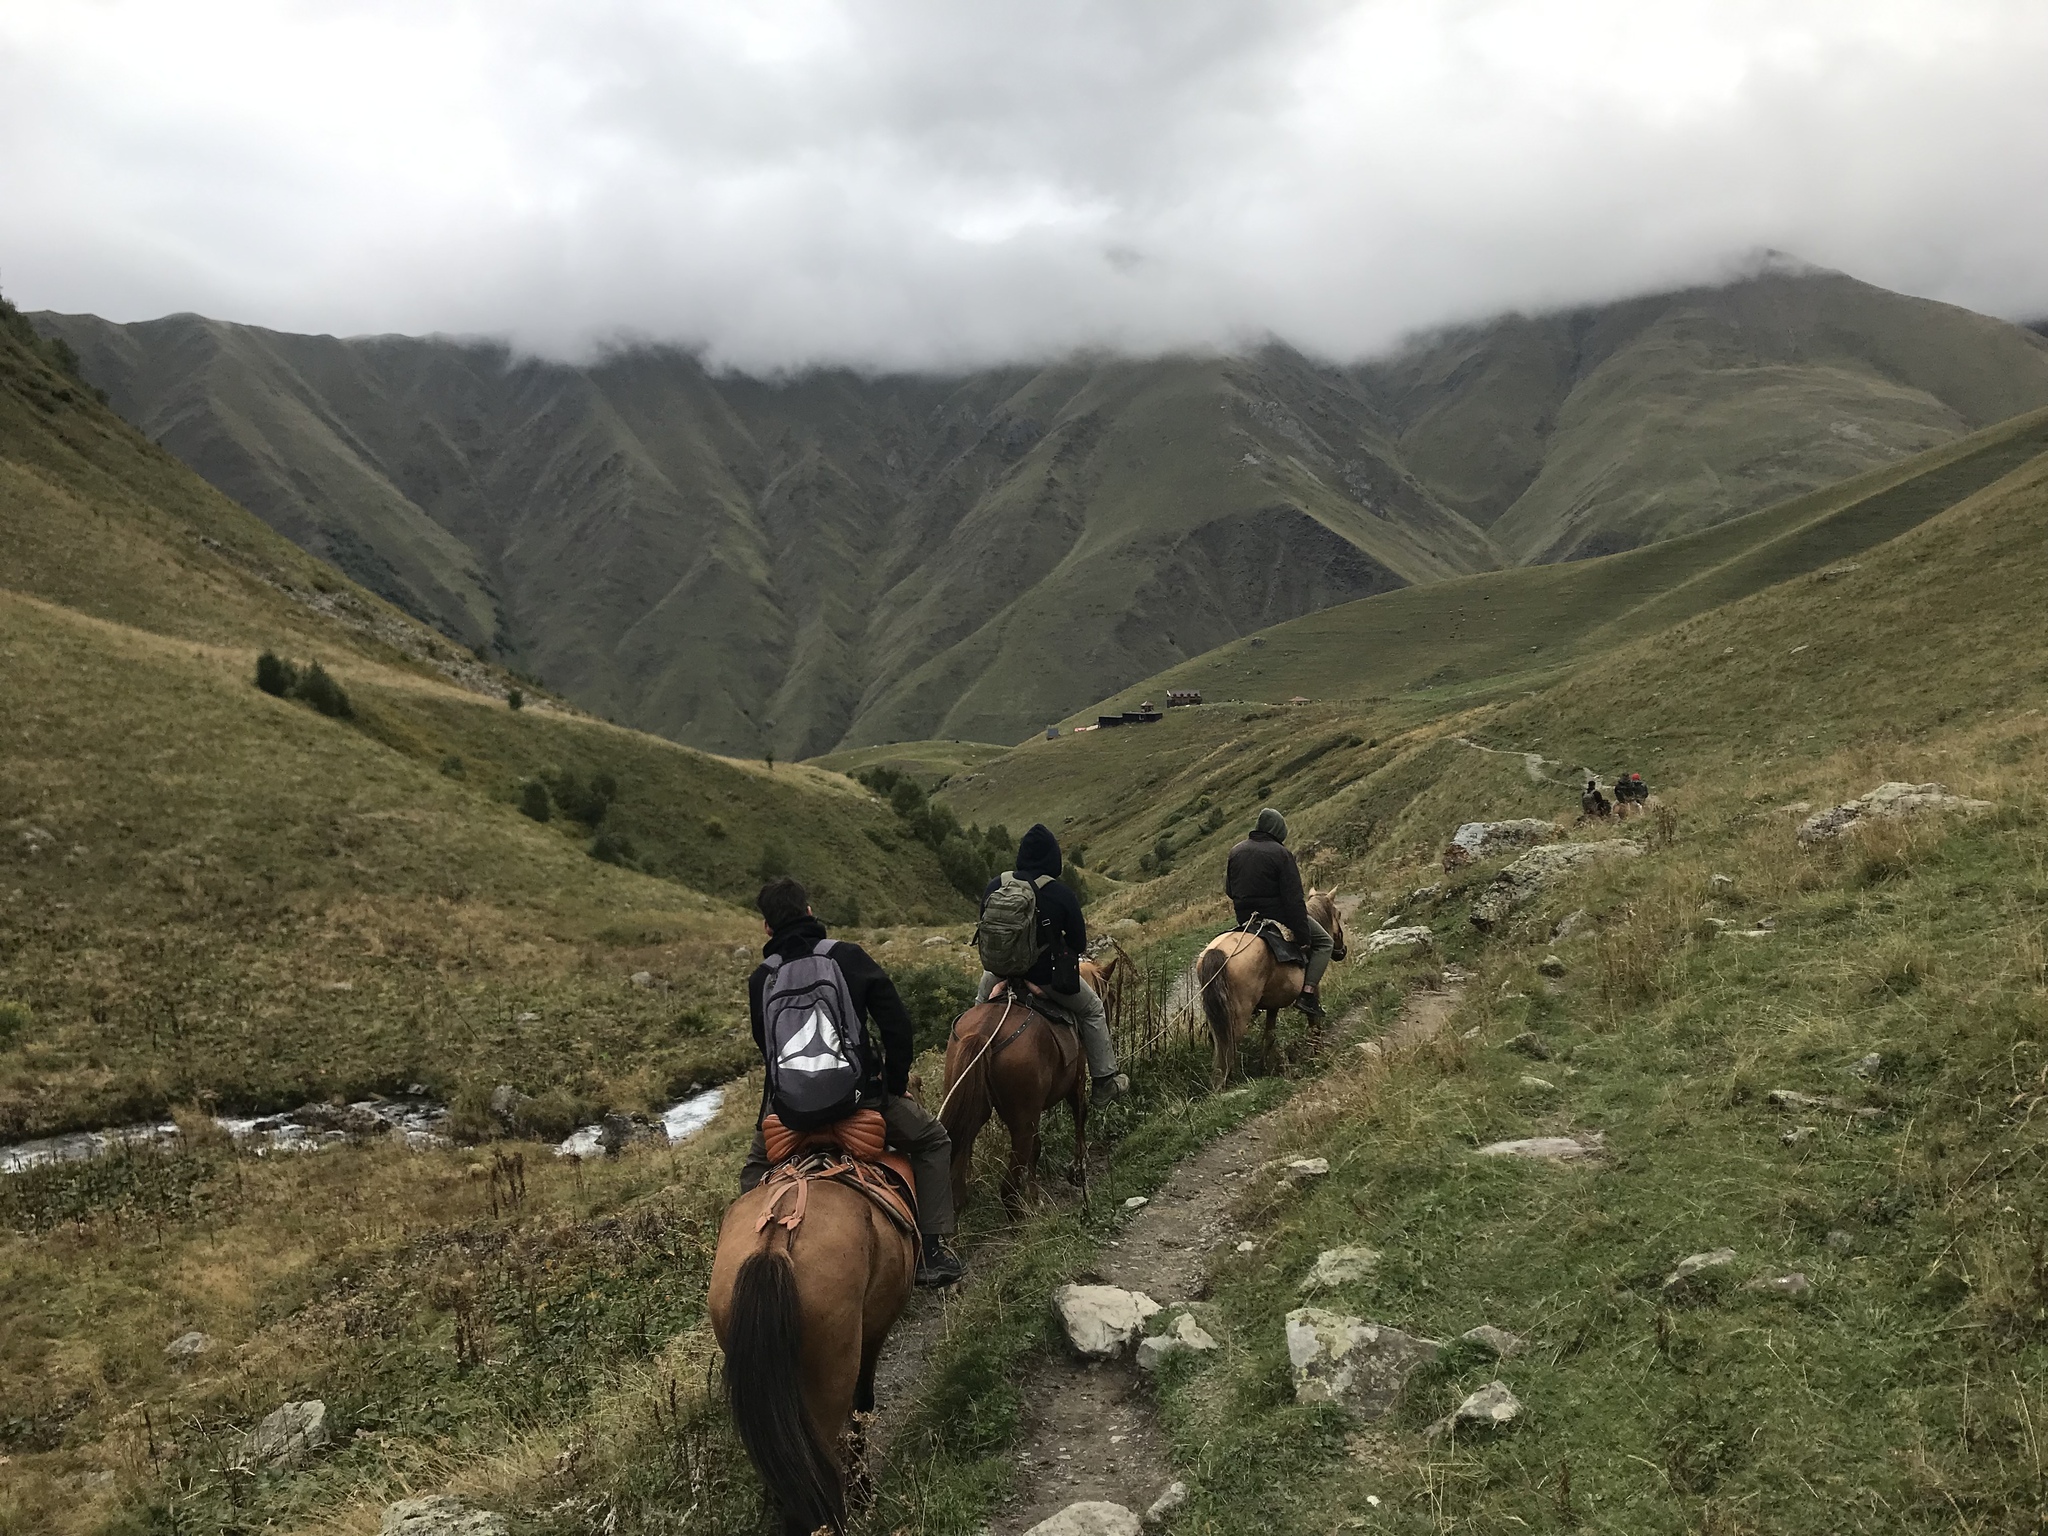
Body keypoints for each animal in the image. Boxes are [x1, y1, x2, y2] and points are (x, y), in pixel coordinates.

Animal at [939, 989, 1088, 1219]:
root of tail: (984, 1031)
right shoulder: (1076, 1085)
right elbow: (1080, 1117)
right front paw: (1077, 1170)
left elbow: (1036, 1149)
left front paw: (1035, 1197)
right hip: (1022, 1123)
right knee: (1009, 1186)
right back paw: (1020, 1216)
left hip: (971, 1111)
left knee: (958, 1178)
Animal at [1193, 889, 1349, 1087]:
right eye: (1338, 914)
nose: (1342, 951)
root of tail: (1218, 951)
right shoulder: (1313, 991)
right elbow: (1314, 1023)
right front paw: (1318, 1055)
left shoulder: (1274, 1003)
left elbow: (1269, 1036)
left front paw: (1263, 1068)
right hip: (1237, 1017)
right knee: (1228, 1045)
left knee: (1219, 1042)